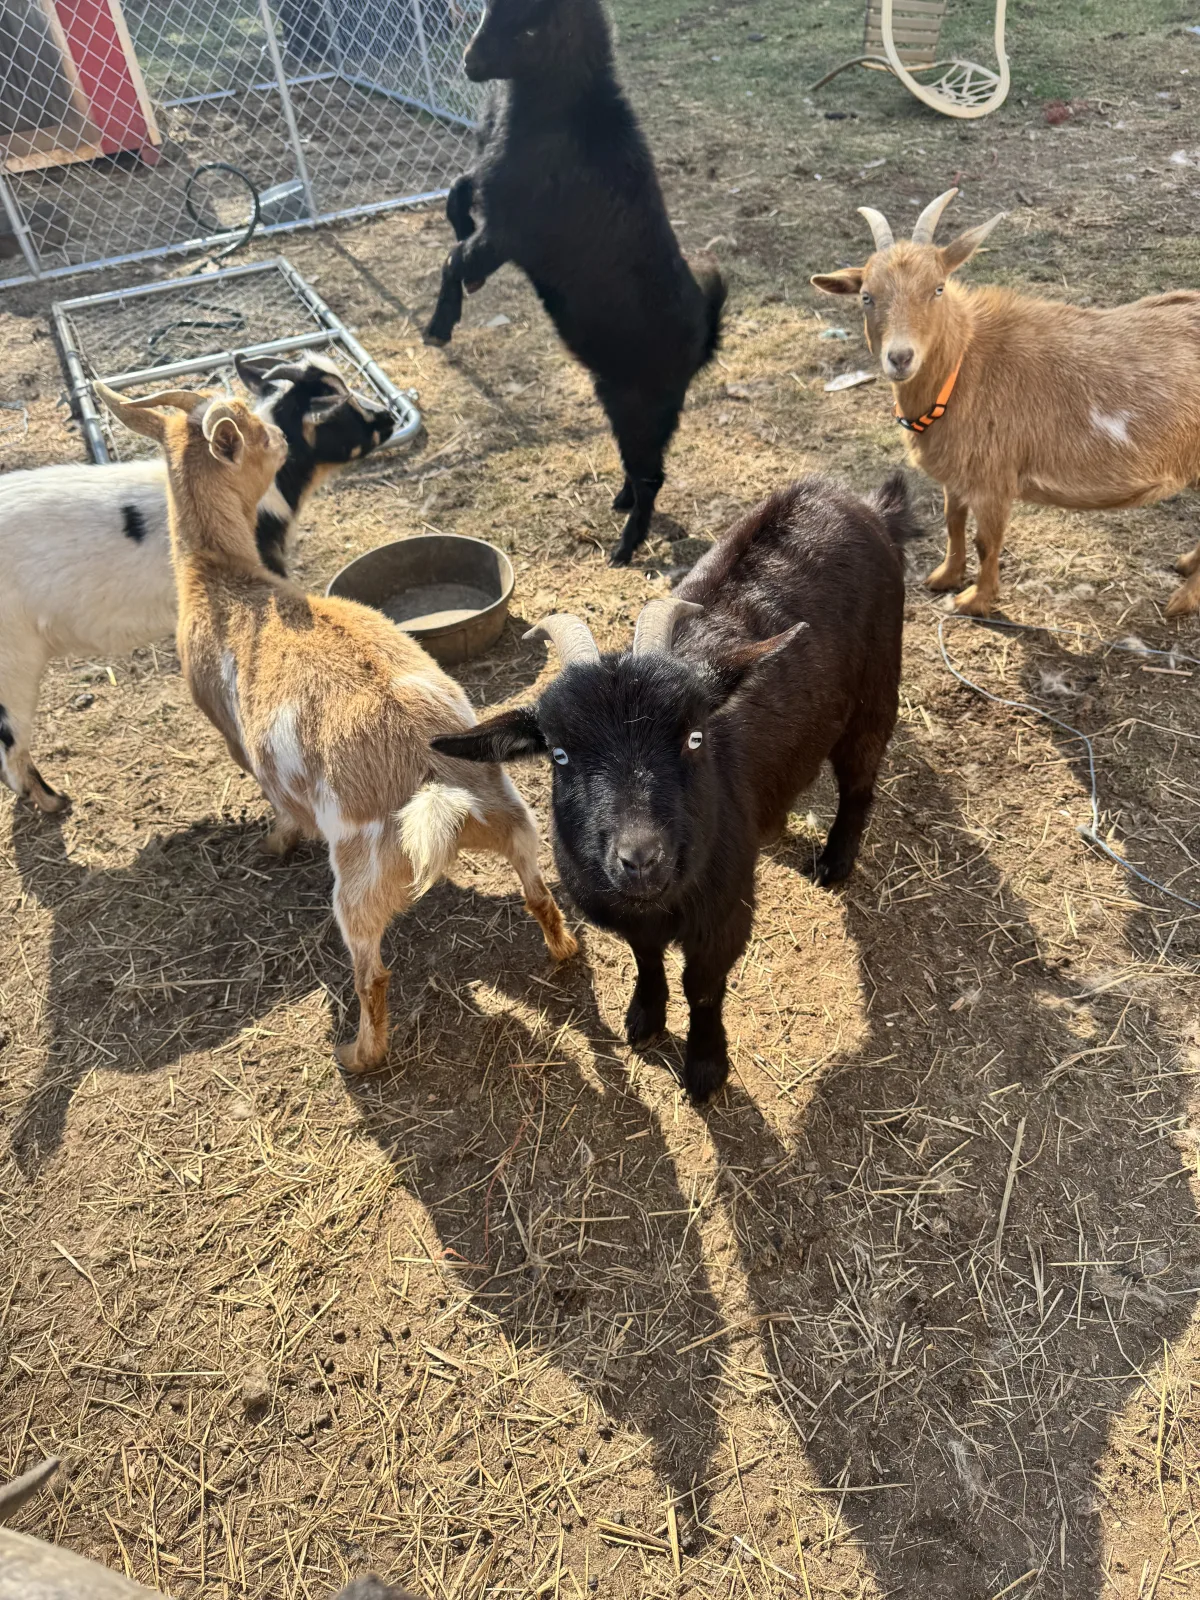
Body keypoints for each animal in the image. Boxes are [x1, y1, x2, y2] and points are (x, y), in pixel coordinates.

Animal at [94, 382, 575, 1073]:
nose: (282, 437)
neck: (222, 579)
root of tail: (439, 789)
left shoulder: (240, 743)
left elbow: (277, 808)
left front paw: (270, 847)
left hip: (357, 884)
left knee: (372, 974)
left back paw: (356, 1055)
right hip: (516, 819)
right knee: (540, 895)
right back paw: (565, 954)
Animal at [423, 0, 726, 566]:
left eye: (529, 26)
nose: (471, 63)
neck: (565, 109)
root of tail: (702, 343)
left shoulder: (511, 230)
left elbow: (455, 257)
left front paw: (440, 325)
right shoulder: (490, 186)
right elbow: (456, 193)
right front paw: (463, 270)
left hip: (639, 403)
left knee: (652, 474)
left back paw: (625, 547)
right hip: (624, 395)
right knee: (641, 466)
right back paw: (619, 501)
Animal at [433, 473, 916, 1101]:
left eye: (693, 737)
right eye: (559, 753)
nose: (641, 858)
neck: (660, 900)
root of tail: (859, 503)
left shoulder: (724, 913)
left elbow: (703, 986)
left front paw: (706, 1067)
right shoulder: (630, 916)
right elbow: (646, 958)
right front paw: (644, 1019)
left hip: (876, 689)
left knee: (860, 782)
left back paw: (834, 865)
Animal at [812, 189, 1200, 618]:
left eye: (938, 288)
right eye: (867, 296)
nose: (900, 357)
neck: (967, 363)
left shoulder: (994, 478)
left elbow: (987, 542)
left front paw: (975, 600)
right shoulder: (959, 475)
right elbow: (952, 522)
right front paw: (944, 577)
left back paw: (1184, 600)